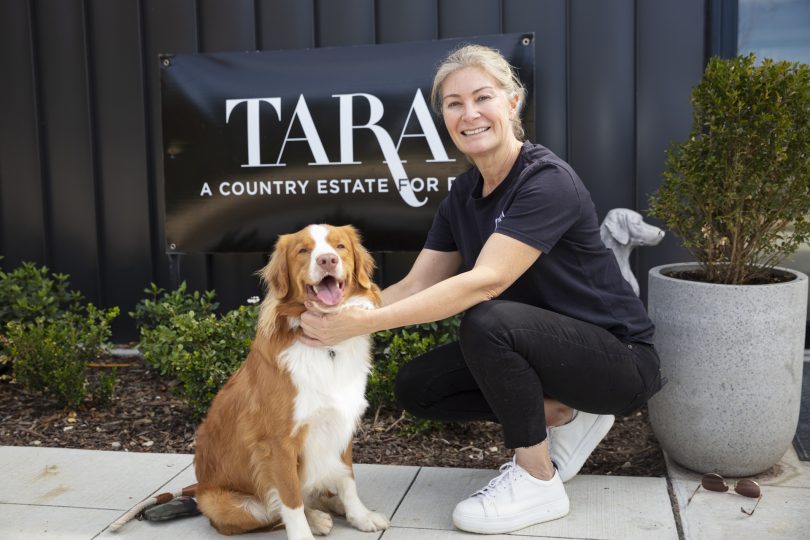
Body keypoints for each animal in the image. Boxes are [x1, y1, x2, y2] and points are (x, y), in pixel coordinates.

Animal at [193, 223, 388, 536]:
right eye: (303, 251)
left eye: (340, 246)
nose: (327, 260)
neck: (326, 348)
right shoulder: (277, 444)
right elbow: (291, 499)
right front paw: (304, 533)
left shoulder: (341, 423)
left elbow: (347, 479)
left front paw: (360, 516)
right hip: (221, 502)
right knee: (274, 510)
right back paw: (317, 519)